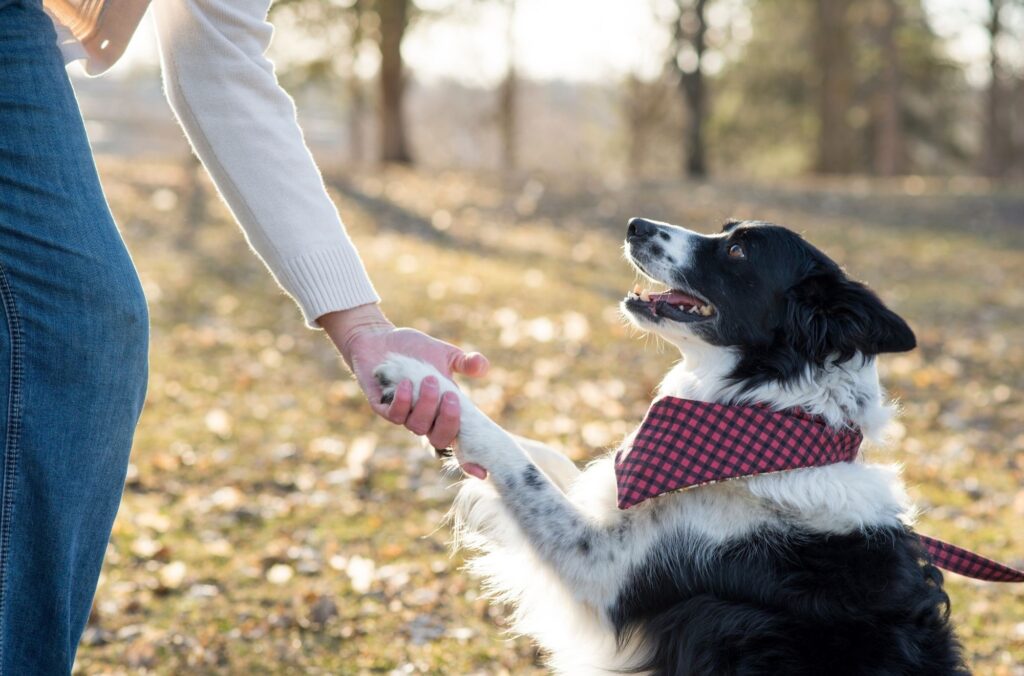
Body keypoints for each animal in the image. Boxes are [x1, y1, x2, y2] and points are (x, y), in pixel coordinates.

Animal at [372, 219, 962, 671]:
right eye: (725, 229)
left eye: (737, 250)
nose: (635, 225)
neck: (767, 419)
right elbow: (559, 460)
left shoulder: (599, 569)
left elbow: (515, 462)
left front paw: (418, 377)